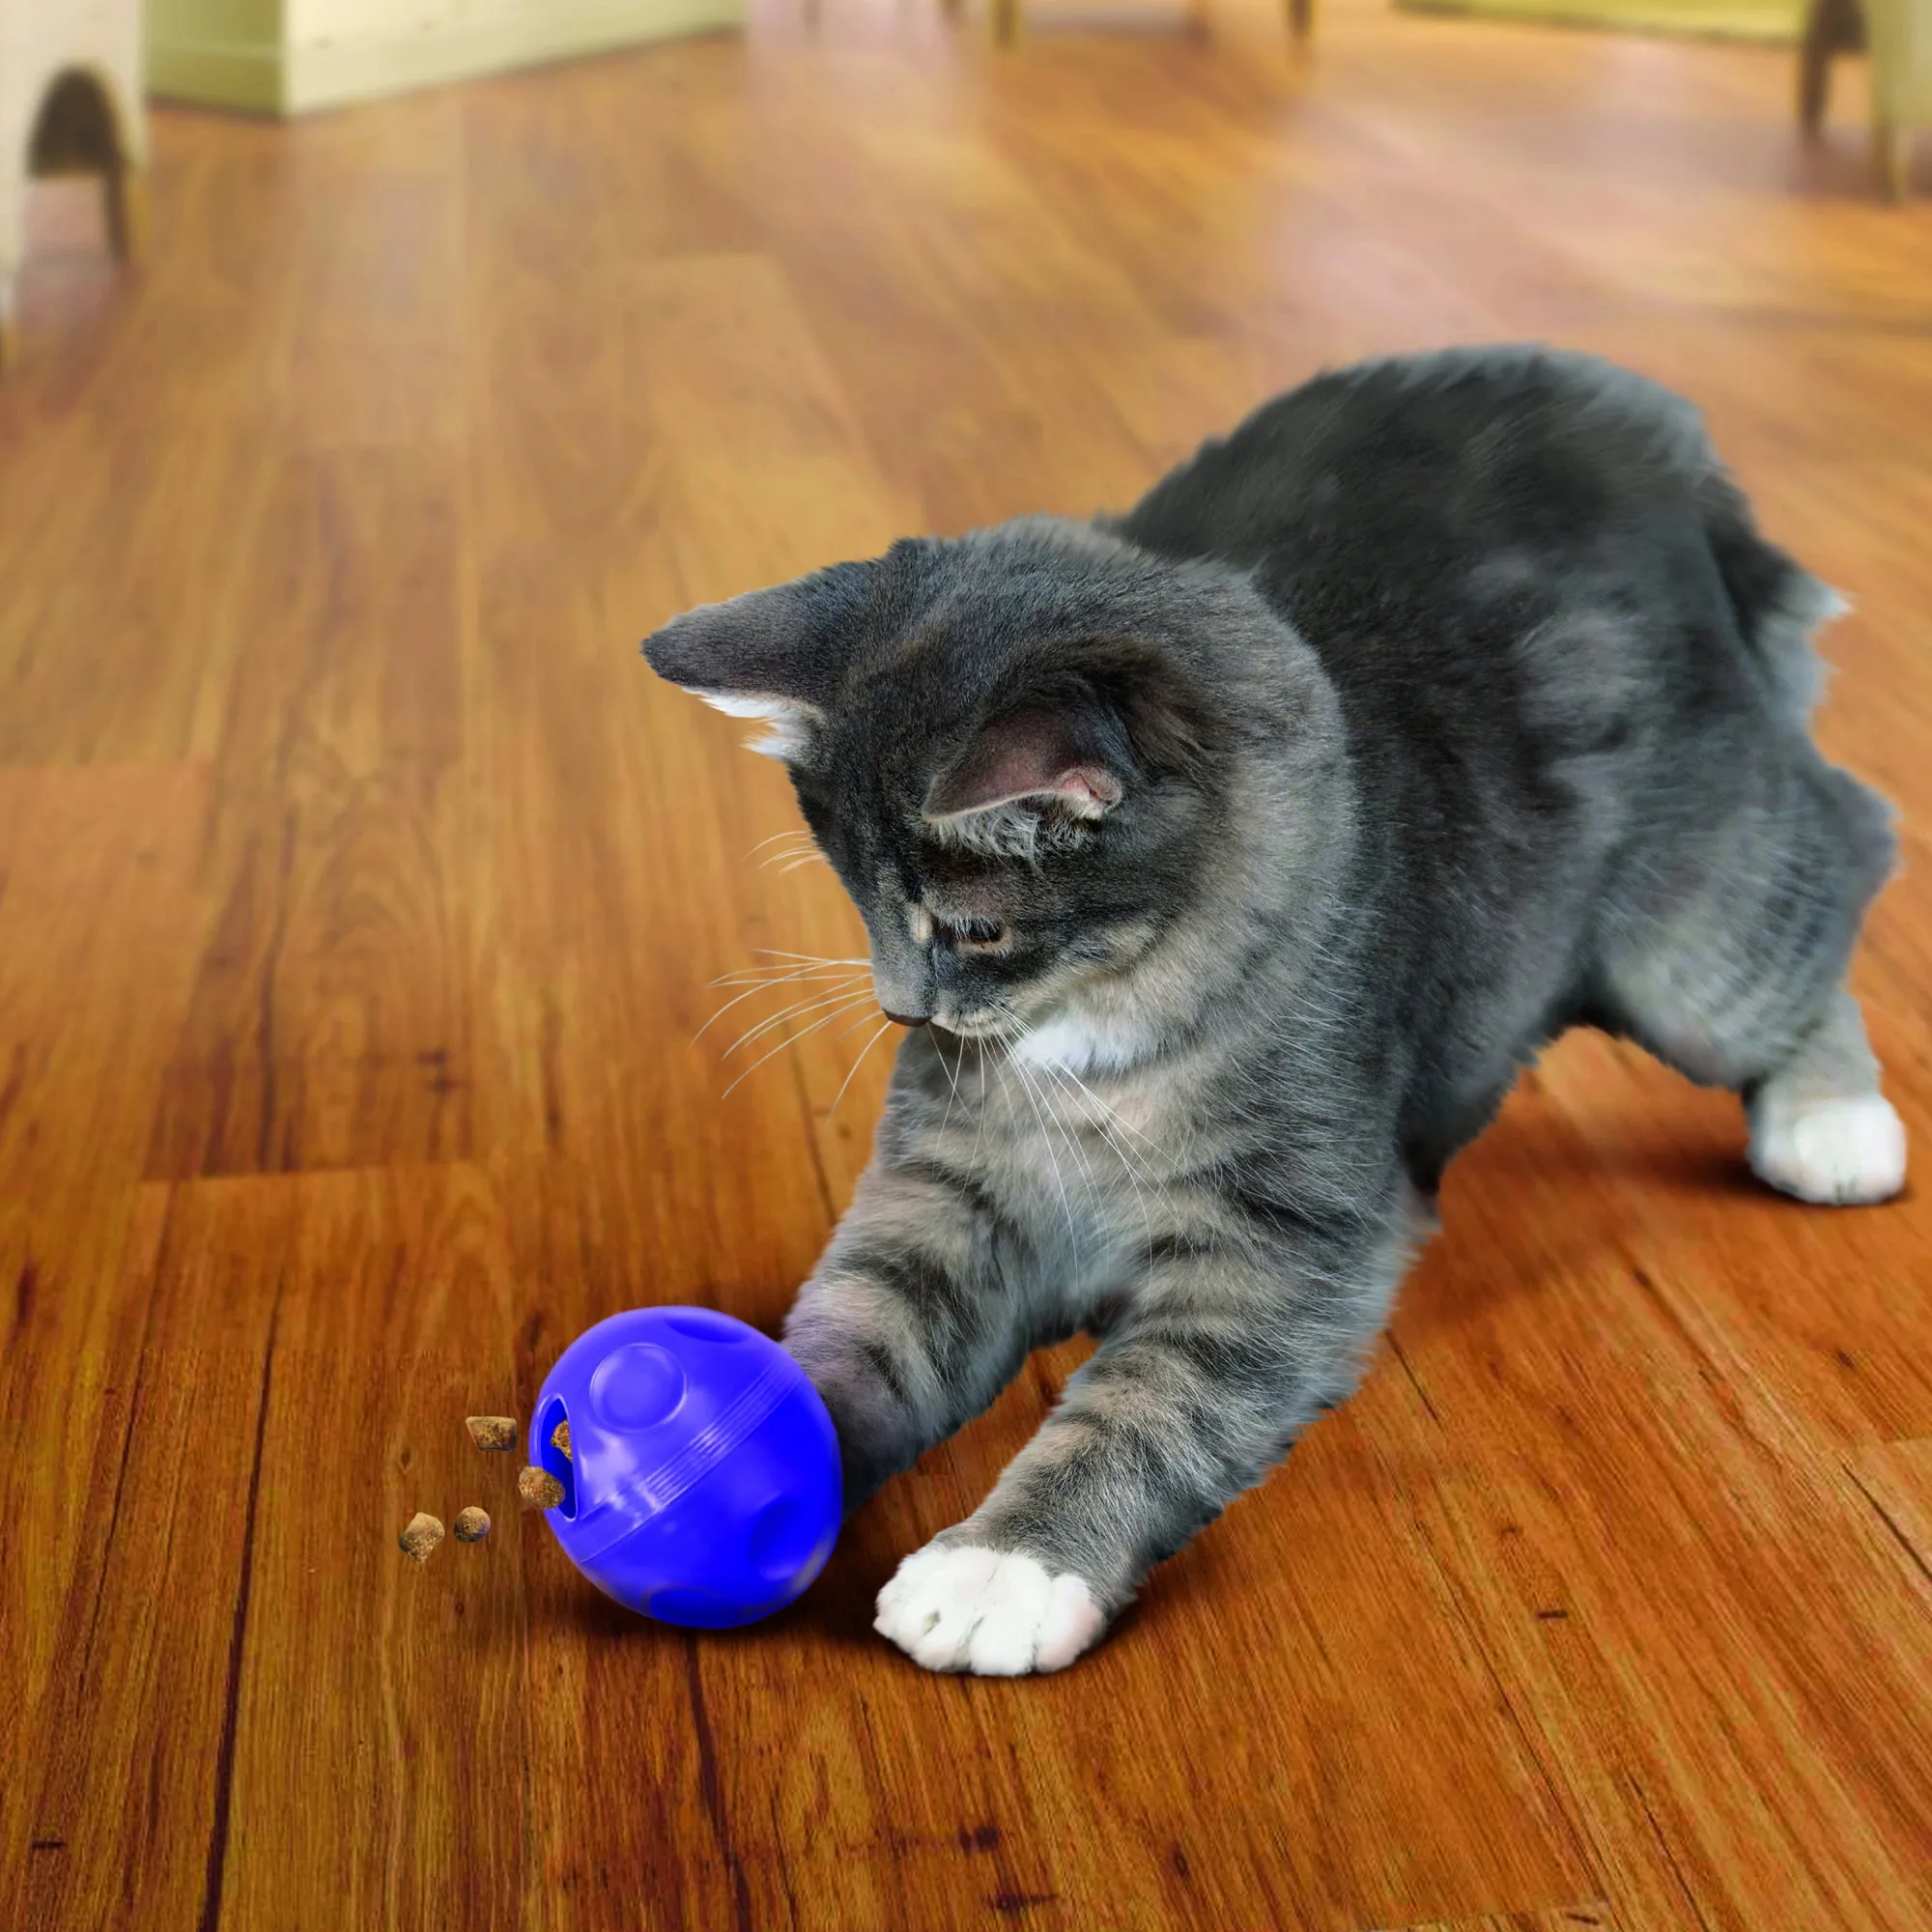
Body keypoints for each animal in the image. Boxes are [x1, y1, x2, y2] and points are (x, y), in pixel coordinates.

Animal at [645, 348, 1901, 1677]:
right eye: (861, 904)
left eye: (972, 929)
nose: (901, 1011)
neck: (1104, 1022)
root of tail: (1644, 425)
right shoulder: (947, 1187)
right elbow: (858, 1328)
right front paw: (720, 1447)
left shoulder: (1286, 1242)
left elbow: (1145, 1401)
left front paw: (1002, 1566)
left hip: (1691, 935)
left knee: (1838, 853)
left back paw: (1830, 1120)